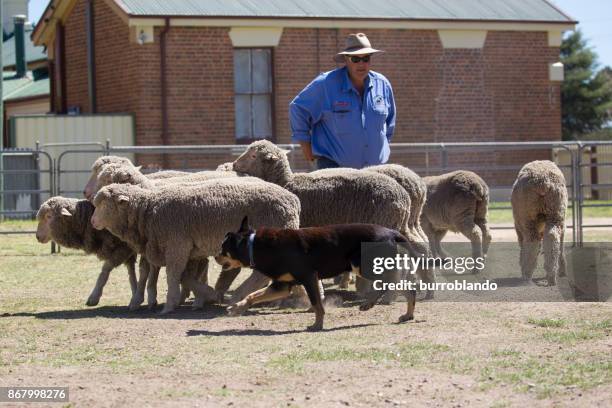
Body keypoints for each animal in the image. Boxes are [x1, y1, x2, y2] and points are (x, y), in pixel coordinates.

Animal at [91, 177, 302, 314]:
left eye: (104, 205)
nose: (92, 222)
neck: (148, 211)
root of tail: (293, 201)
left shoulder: (177, 245)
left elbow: (173, 274)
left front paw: (169, 305)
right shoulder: (190, 250)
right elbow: (186, 276)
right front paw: (205, 295)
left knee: (260, 275)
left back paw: (237, 297)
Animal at [215, 217, 416, 332]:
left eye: (223, 249)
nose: (216, 257)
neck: (254, 245)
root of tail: (392, 232)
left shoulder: (308, 278)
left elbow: (317, 305)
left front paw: (317, 326)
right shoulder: (282, 285)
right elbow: (253, 295)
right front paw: (237, 308)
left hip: (362, 265)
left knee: (390, 283)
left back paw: (369, 304)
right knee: (406, 288)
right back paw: (407, 315)